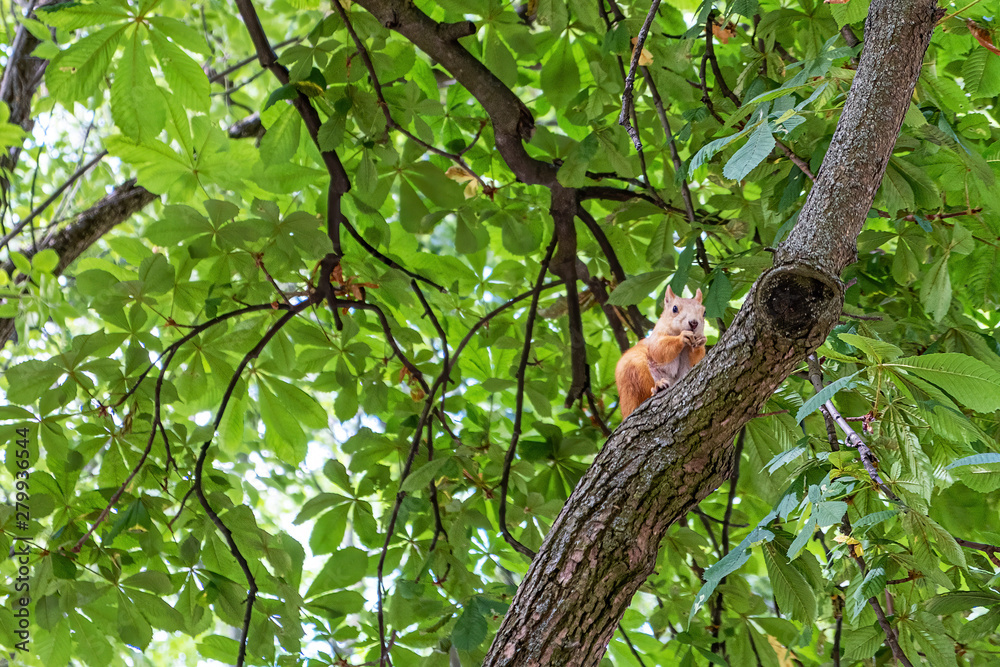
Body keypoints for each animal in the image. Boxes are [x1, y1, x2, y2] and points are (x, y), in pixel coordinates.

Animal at [612, 286, 708, 420]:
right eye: (674, 308)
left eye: (704, 312)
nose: (694, 323)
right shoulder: (655, 339)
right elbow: (660, 349)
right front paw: (681, 338)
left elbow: (695, 360)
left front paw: (701, 342)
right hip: (635, 371)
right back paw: (658, 387)